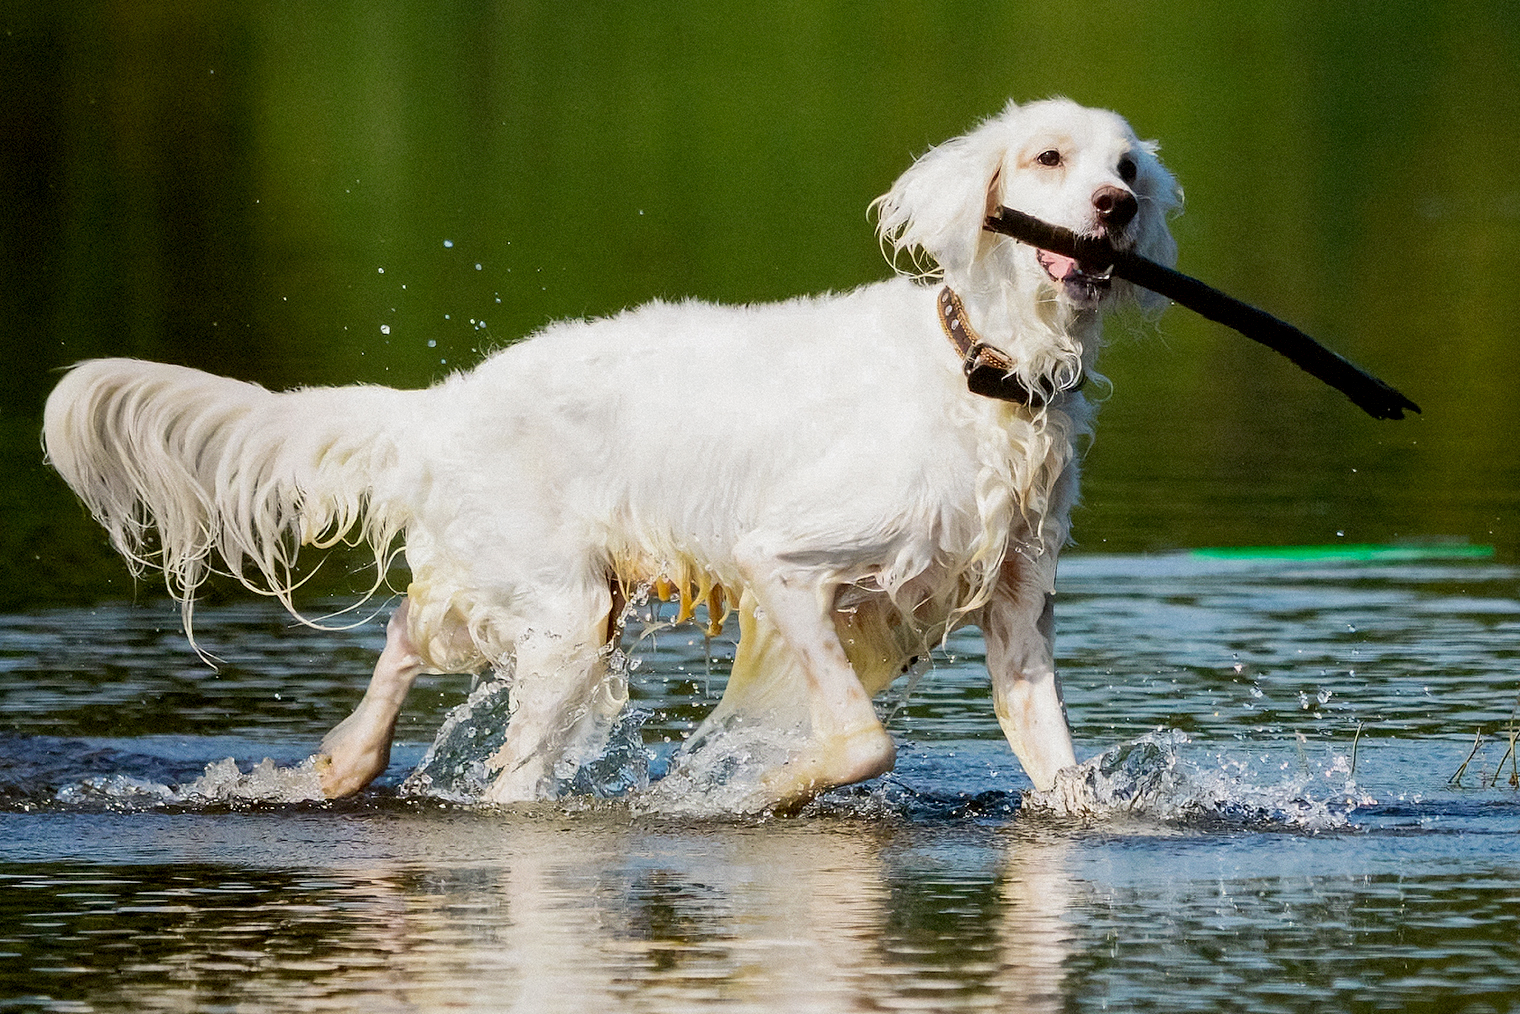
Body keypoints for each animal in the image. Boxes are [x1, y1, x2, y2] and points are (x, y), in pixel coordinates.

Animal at [41, 98, 1179, 814]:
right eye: (1047, 158)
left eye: (1125, 166)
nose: (1115, 208)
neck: (979, 372)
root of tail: (443, 406)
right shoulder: (784, 563)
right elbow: (863, 741)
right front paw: (753, 792)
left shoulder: (1017, 617)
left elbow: (1061, 778)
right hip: (564, 621)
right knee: (504, 779)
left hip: (540, 596)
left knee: (407, 632)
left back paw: (344, 763)